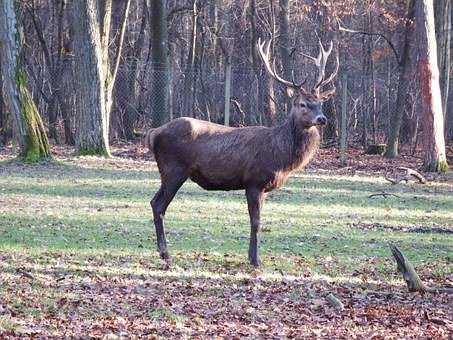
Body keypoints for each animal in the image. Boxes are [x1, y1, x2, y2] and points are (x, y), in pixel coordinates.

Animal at [147, 38, 338, 266]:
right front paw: (255, 260)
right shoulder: (254, 181)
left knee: (154, 202)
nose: (322, 119)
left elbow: (257, 220)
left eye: (320, 103)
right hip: (174, 169)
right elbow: (256, 221)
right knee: (159, 205)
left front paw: (251, 256)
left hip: (169, 172)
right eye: (302, 104)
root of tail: (154, 133)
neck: (280, 157)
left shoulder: (263, 188)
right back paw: (166, 253)